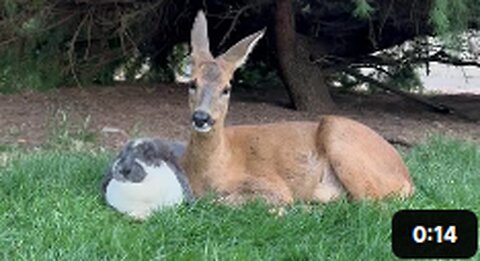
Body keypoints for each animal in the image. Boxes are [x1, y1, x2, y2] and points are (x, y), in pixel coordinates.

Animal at [179, 10, 412, 205]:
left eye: (226, 88)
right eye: (192, 83)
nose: (201, 117)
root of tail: (407, 179)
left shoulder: (270, 183)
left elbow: (224, 201)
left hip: (338, 134)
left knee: (372, 204)